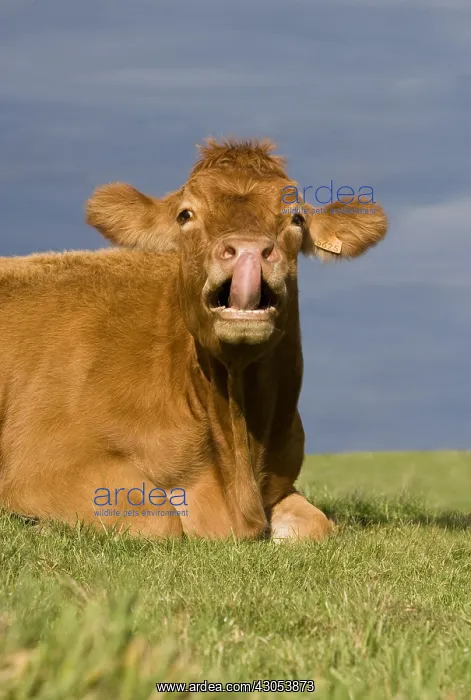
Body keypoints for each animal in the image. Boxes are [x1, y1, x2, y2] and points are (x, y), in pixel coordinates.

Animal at [0, 138, 387, 540]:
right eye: (185, 215)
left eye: (296, 218)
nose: (248, 250)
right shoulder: (41, 468)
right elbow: (158, 517)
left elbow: (317, 523)